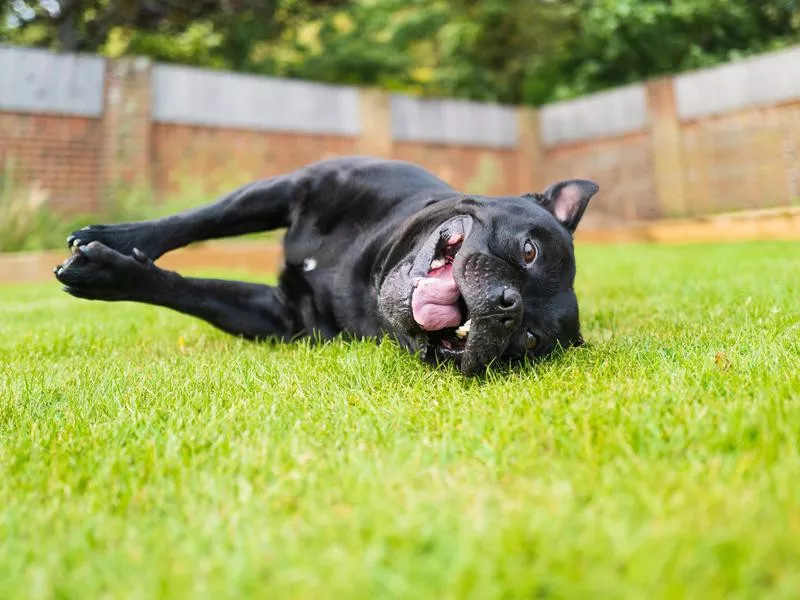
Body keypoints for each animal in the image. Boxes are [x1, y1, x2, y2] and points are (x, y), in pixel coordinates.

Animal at [54, 159, 592, 376]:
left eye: (526, 341)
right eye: (529, 251)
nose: (507, 305)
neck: (367, 265)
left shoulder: (281, 317)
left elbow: (193, 292)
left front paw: (111, 274)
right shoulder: (293, 186)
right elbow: (200, 219)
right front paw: (119, 240)